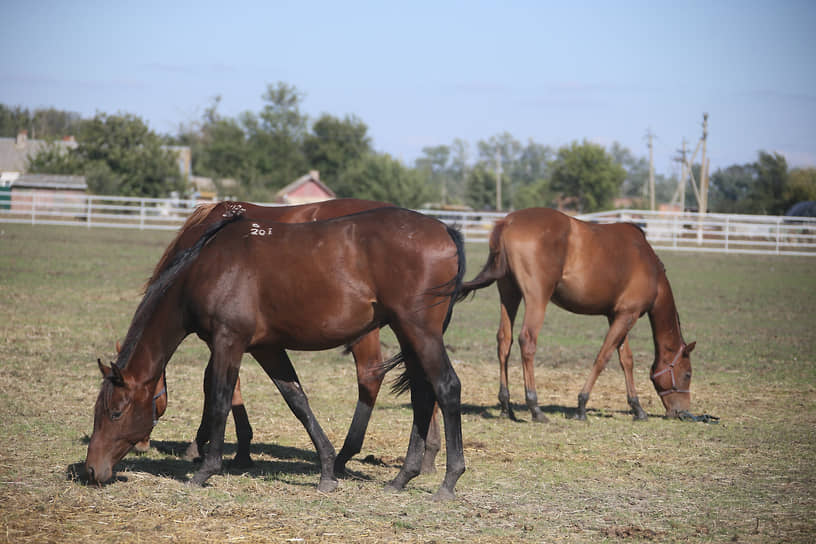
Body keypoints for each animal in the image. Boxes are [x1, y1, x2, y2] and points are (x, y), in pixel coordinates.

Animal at [84, 208, 466, 502]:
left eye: (115, 412)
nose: (90, 469)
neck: (208, 267)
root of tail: (444, 229)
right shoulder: (266, 348)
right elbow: (297, 400)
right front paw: (327, 471)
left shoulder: (228, 342)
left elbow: (220, 398)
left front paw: (206, 469)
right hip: (407, 334)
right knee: (422, 396)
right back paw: (402, 478)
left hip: (419, 331)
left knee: (446, 388)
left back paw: (448, 482)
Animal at [460, 207, 696, 420]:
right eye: (687, 374)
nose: (682, 412)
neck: (649, 265)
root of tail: (508, 222)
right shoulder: (627, 315)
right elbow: (602, 357)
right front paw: (581, 405)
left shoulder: (618, 315)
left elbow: (626, 360)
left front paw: (637, 408)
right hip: (537, 299)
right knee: (527, 340)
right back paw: (535, 407)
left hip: (509, 294)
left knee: (504, 341)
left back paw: (505, 407)